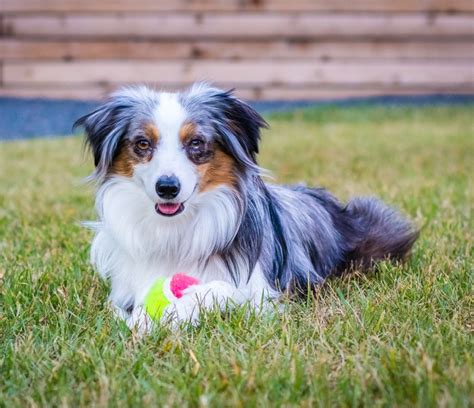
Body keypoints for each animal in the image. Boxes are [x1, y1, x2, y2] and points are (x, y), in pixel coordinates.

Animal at [75, 82, 418, 332]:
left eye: (196, 143)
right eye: (143, 143)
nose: (167, 187)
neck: (176, 228)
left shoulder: (259, 294)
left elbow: (217, 291)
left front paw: (170, 313)